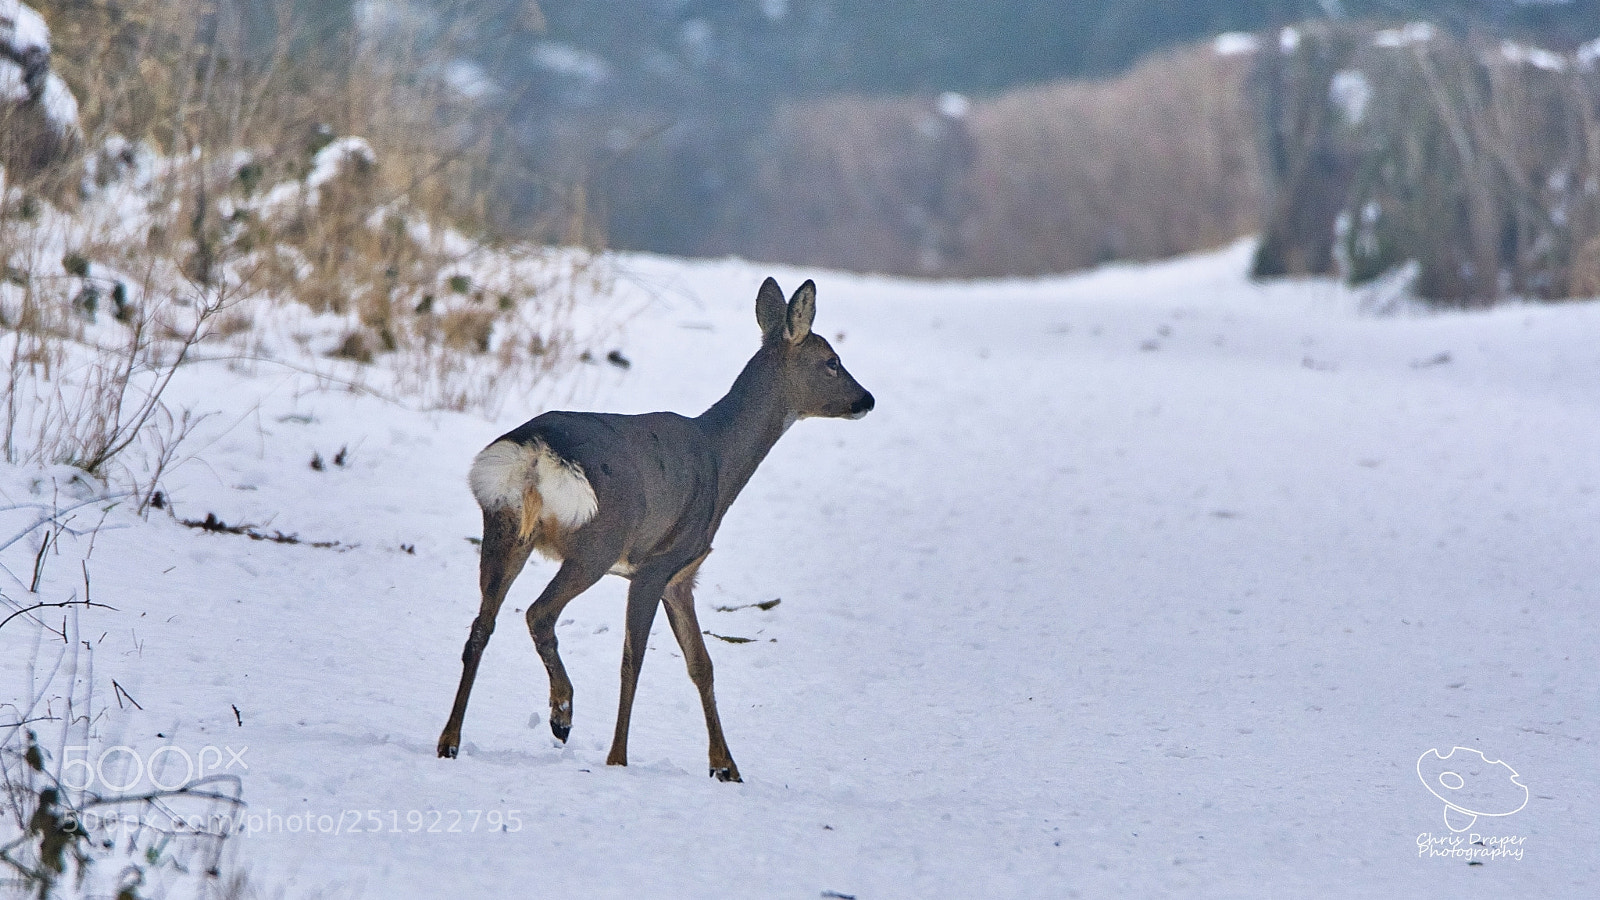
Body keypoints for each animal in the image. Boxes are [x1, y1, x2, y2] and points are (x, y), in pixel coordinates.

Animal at [436, 277, 874, 781]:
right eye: (832, 362)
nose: (867, 399)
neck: (719, 458)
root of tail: (531, 453)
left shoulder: (682, 575)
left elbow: (701, 663)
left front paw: (726, 767)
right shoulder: (656, 562)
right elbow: (634, 660)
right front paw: (618, 758)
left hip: (504, 527)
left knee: (481, 626)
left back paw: (450, 741)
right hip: (596, 543)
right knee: (538, 613)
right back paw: (562, 714)